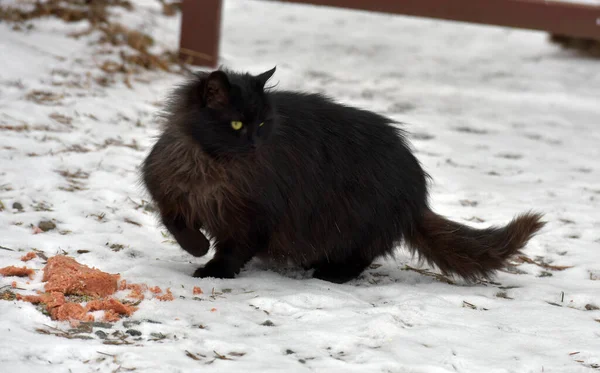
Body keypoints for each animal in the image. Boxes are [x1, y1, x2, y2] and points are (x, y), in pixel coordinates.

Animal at [142, 66, 544, 282]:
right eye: (238, 124)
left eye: (262, 123)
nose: (256, 142)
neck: (212, 170)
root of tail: (416, 192)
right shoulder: (165, 186)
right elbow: (178, 224)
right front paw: (198, 247)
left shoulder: (256, 216)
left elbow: (233, 249)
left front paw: (213, 270)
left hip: (353, 217)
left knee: (363, 255)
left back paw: (329, 273)